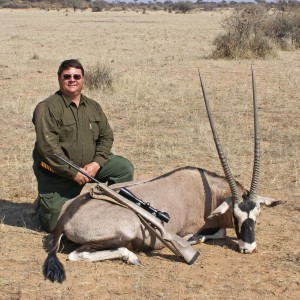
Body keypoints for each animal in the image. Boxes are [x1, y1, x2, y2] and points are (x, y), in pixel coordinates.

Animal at [43, 67, 280, 282]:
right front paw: (195, 240)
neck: (206, 192)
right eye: (235, 215)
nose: (249, 247)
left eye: (257, 215)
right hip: (123, 231)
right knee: (78, 254)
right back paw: (131, 257)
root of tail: (65, 216)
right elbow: (212, 233)